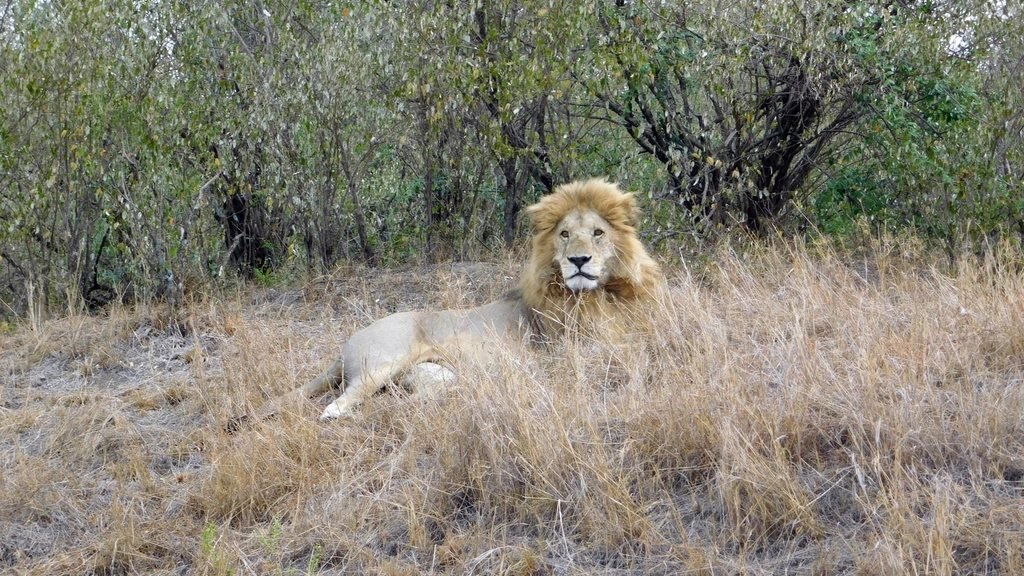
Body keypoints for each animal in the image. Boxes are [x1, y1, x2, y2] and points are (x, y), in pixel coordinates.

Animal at [277, 178, 664, 421]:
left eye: (598, 233)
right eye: (565, 234)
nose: (578, 260)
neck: (600, 297)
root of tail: (345, 347)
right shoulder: (573, 352)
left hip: (438, 378)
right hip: (383, 361)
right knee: (336, 405)